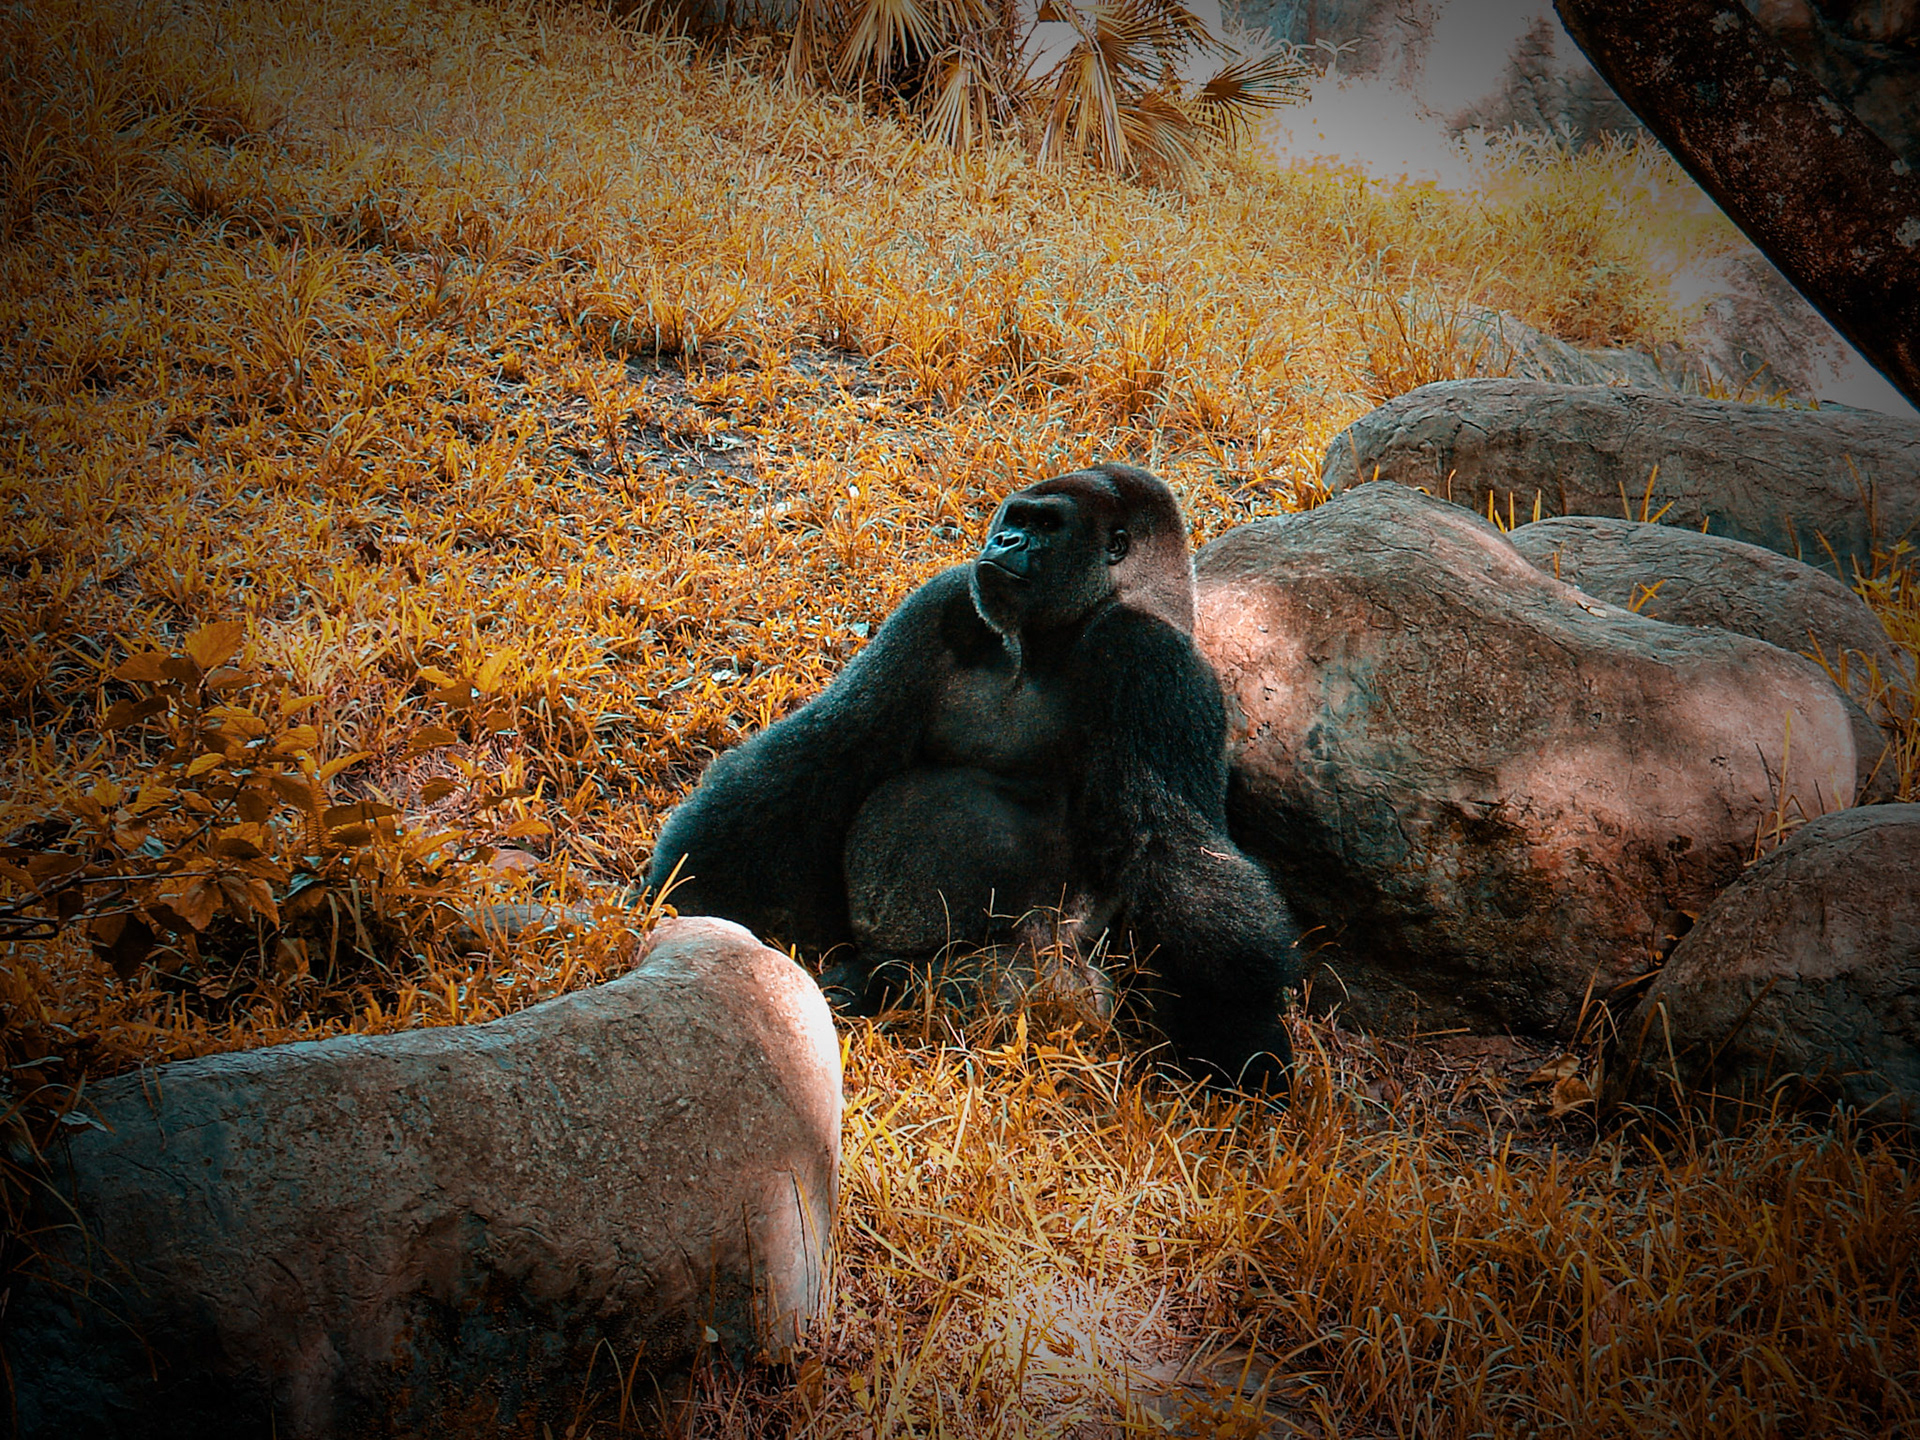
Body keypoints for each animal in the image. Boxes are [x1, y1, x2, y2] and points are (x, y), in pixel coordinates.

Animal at [647, 463, 1302, 1090]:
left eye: (1046, 526)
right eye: (1015, 519)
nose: (1005, 541)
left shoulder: (1151, 659)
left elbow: (1174, 849)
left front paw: (1237, 1028)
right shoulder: (948, 599)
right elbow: (833, 747)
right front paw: (688, 879)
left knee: (1025, 990)